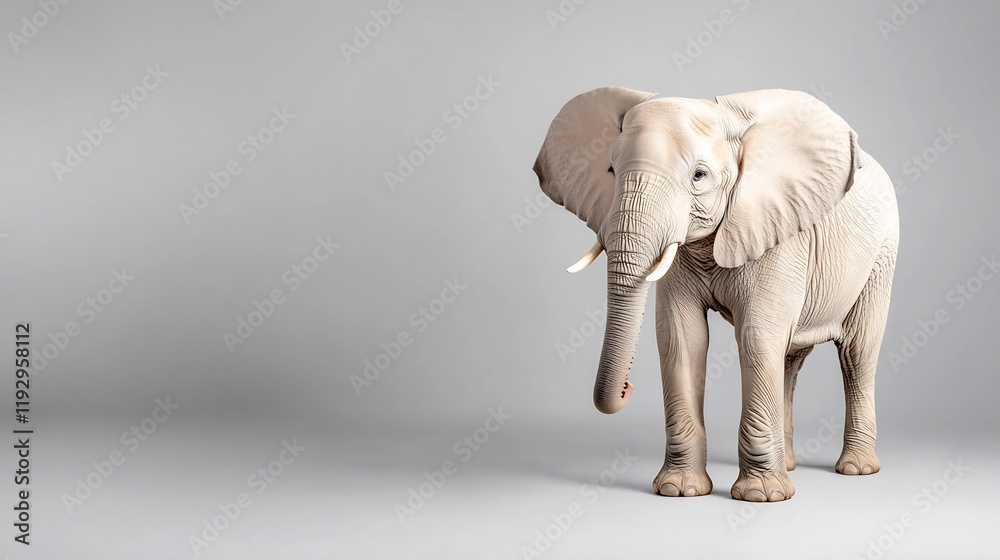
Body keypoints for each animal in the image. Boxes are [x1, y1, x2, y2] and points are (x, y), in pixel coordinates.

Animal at [533, 88, 899, 501]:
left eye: (699, 175)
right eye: (610, 171)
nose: (627, 387)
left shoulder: (777, 229)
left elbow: (756, 338)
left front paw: (761, 496)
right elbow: (681, 338)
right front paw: (679, 490)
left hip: (882, 252)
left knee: (856, 352)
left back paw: (856, 469)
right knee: (789, 357)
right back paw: (790, 466)